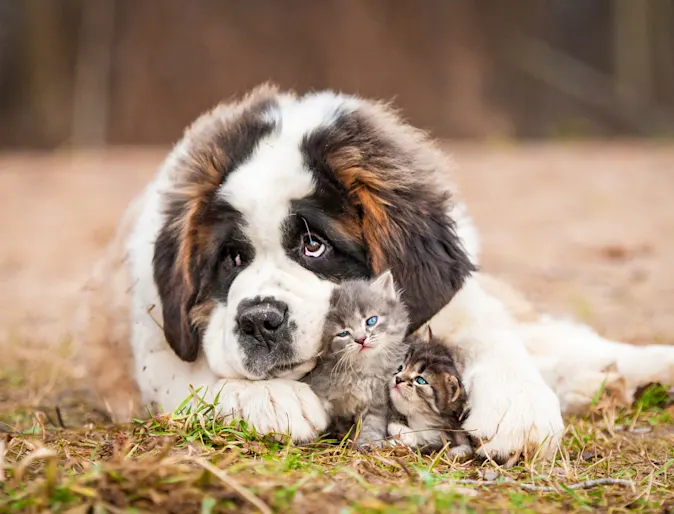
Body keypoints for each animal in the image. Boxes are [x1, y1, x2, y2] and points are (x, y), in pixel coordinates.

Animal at [302, 270, 406, 446]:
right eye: (343, 333)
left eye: (371, 321)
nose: (361, 339)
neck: (360, 372)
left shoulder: (377, 401)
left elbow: (372, 424)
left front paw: (368, 444)